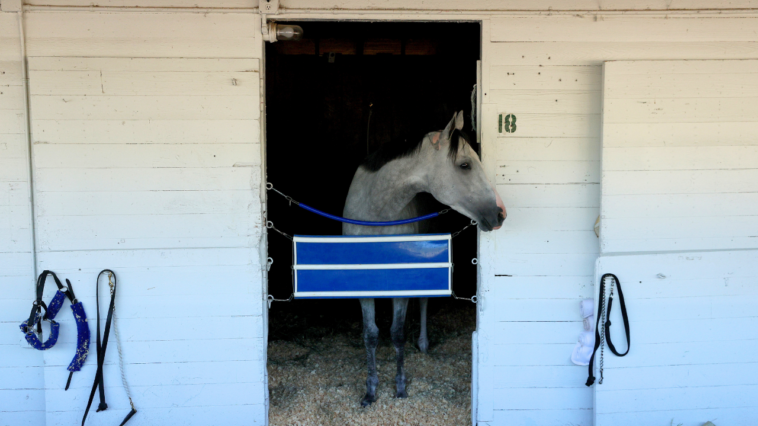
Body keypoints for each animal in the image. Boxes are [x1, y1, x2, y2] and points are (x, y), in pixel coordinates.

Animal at [343, 111, 506, 407]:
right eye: (465, 165)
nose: (500, 213)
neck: (375, 212)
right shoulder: (363, 284)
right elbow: (370, 335)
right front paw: (371, 391)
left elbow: (397, 333)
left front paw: (400, 387)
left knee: (423, 302)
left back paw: (423, 342)